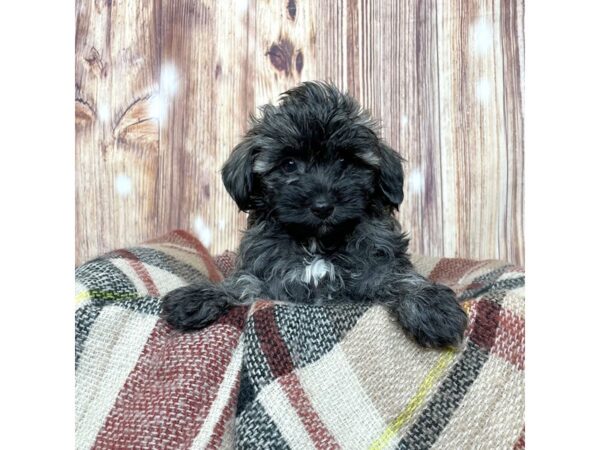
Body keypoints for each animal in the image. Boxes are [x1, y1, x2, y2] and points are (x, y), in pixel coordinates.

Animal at [161, 81, 468, 348]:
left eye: (345, 161)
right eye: (288, 164)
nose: (322, 206)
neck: (317, 243)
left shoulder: (377, 267)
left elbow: (401, 279)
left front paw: (433, 308)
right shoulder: (271, 280)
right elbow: (243, 283)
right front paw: (201, 296)